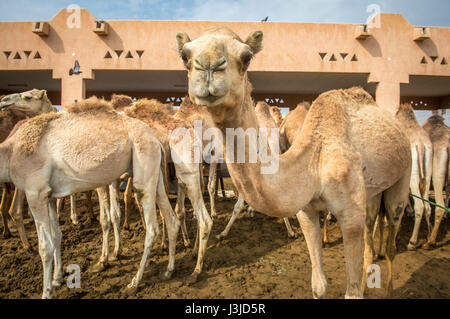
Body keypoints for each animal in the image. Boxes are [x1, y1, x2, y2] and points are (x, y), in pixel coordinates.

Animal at [0, 97, 179, 298]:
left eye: (28, 97)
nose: (4, 101)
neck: (10, 153)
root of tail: (155, 139)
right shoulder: (49, 196)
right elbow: (56, 236)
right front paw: (57, 278)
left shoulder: (35, 192)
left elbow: (45, 247)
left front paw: (46, 292)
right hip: (154, 172)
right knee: (171, 220)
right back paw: (168, 270)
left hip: (143, 162)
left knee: (152, 228)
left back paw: (134, 282)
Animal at [175, 26, 412, 298]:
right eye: (184, 55)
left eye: (247, 57)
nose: (209, 66)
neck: (314, 165)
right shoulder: (306, 212)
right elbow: (319, 285)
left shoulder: (351, 214)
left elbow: (351, 292)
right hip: (372, 193)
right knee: (372, 230)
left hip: (403, 176)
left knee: (393, 228)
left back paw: (390, 287)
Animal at [394, 104, 432, 251]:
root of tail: (420, 144)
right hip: (427, 175)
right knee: (427, 206)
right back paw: (429, 240)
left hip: (413, 177)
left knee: (420, 206)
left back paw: (412, 242)